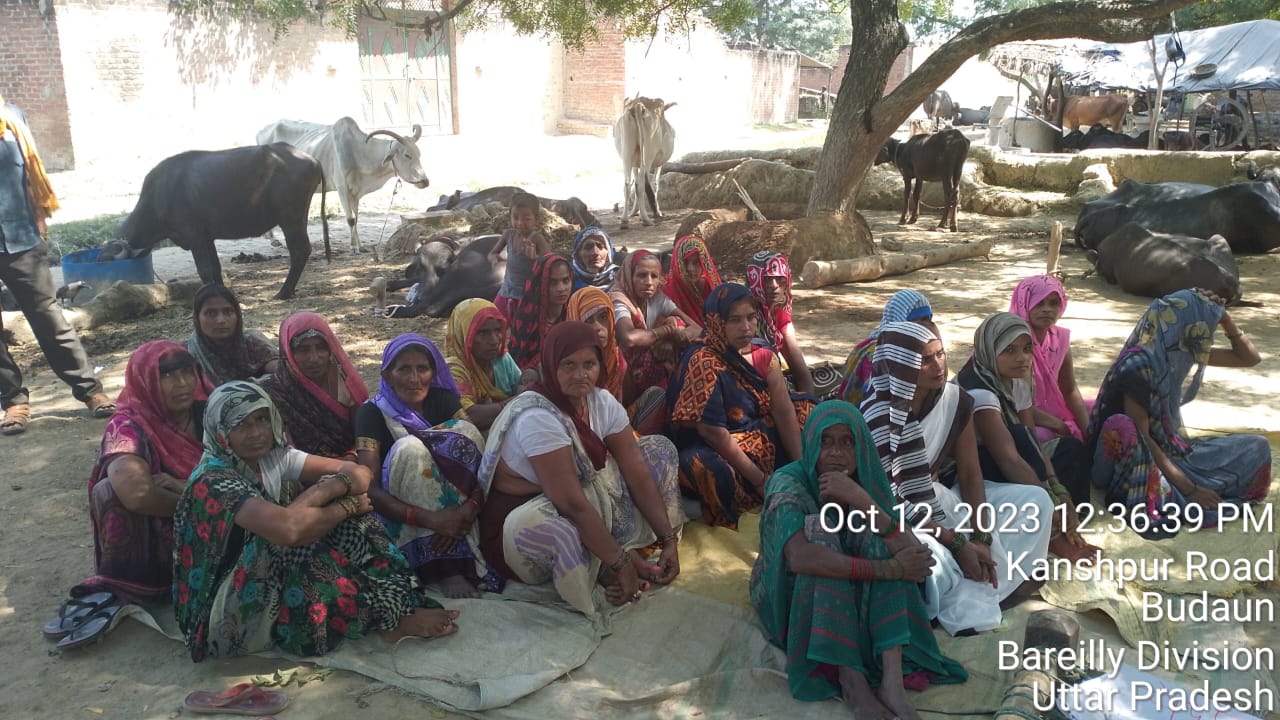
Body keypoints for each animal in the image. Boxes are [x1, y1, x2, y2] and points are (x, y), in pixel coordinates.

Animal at [118, 143, 329, 300]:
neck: (158, 195)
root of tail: (314, 160)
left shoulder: (194, 236)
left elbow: (204, 270)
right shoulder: (207, 238)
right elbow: (216, 268)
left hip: (290, 219)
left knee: (300, 250)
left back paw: (283, 292)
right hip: (300, 217)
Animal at [256, 117, 429, 252]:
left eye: (419, 154)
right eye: (407, 155)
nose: (425, 181)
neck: (358, 151)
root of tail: (261, 131)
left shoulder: (356, 192)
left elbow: (356, 218)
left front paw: (360, 245)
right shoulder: (342, 188)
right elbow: (350, 219)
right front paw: (353, 247)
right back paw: (272, 239)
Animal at [614, 97, 676, 228]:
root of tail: (638, 105)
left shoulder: (635, 163)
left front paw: (633, 212)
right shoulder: (659, 164)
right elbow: (655, 184)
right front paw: (658, 211)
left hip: (627, 152)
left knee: (628, 184)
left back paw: (624, 220)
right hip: (648, 153)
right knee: (641, 183)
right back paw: (646, 219)